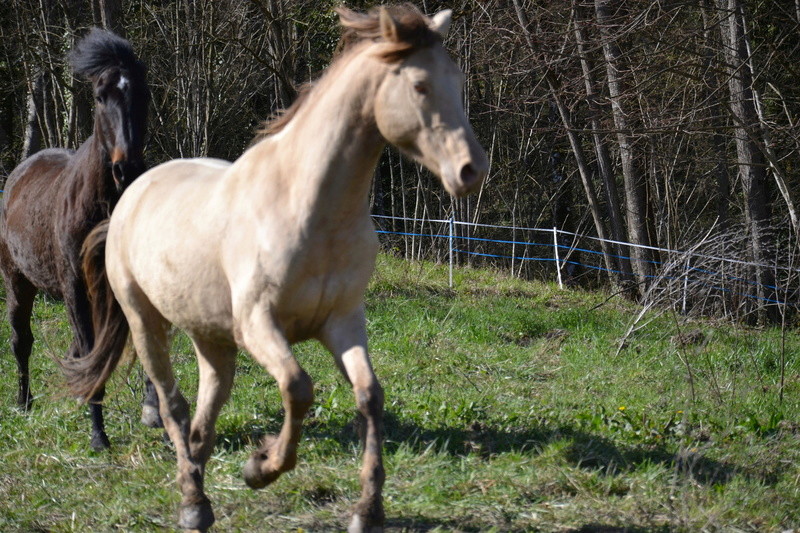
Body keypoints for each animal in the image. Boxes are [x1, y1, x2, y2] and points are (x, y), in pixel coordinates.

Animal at [0, 28, 158, 448]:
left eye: (144, 94)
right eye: (101, 95)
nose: (126, 168)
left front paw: (156, 413)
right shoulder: (76, 289)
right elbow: (88, 349)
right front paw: (98, 434)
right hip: (18, 283)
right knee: (22, 341)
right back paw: (24, 401)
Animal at [64, 5, 488, 532]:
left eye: (455, 79)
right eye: (419, 85)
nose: (471, 170)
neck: (308, 208)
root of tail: (132, 192)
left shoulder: (343, 322)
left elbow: (370, 397)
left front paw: (367, 511)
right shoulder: (259, 324)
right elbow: (298, 387)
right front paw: (260, 468)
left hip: (211, 335)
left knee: (208, 405)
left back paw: (199, 483)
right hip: (145, 322)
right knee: (173, 406)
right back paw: (192, 503)